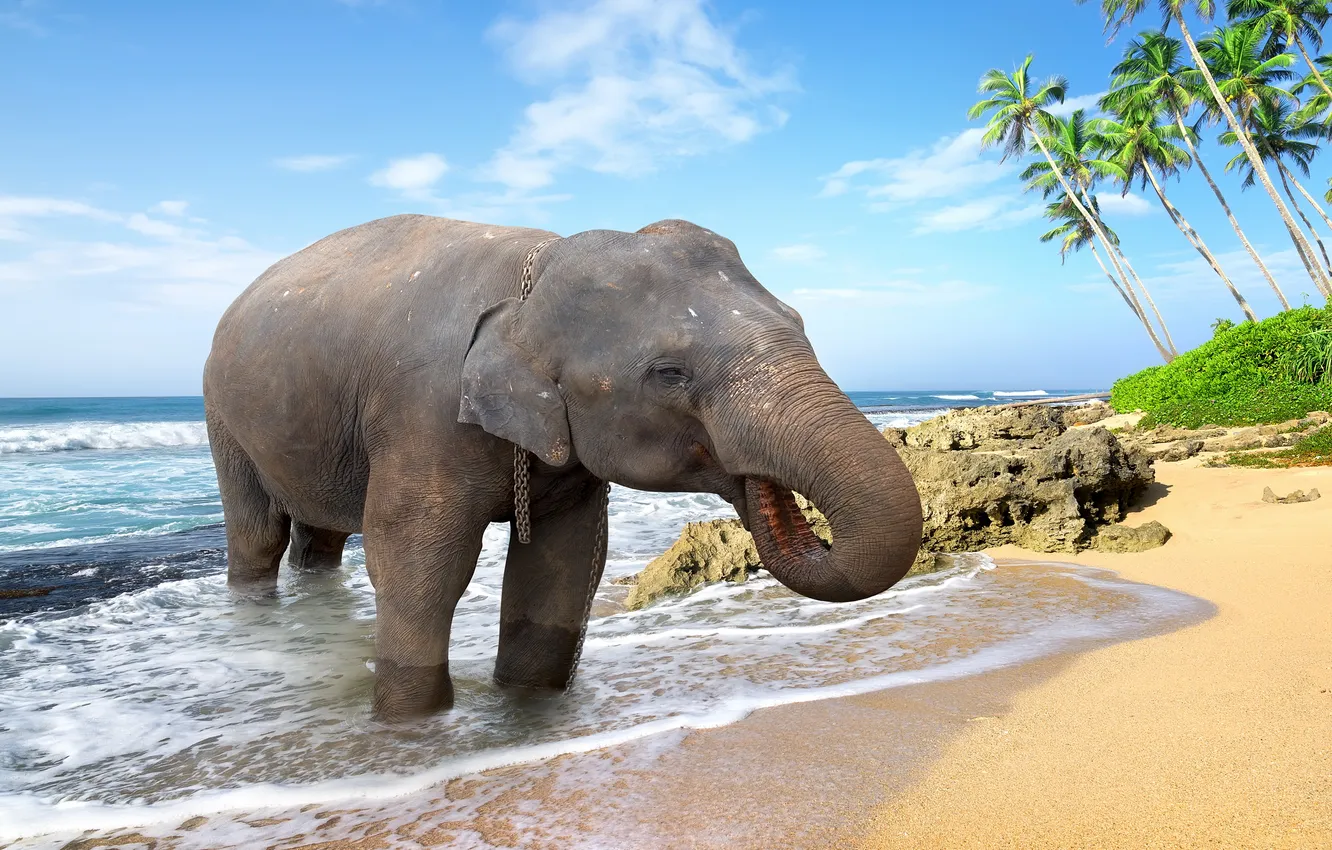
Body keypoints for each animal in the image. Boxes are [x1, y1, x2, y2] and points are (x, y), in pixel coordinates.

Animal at [203, 214, 923, 721]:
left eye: (799, 323)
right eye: (669, 373)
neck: (535, 277)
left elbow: (563, 566)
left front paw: (526, 705)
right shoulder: (422, 413)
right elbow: (416, 565)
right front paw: (410, 726)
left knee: (318, 538)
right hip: (222, 418)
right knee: (258, 533)